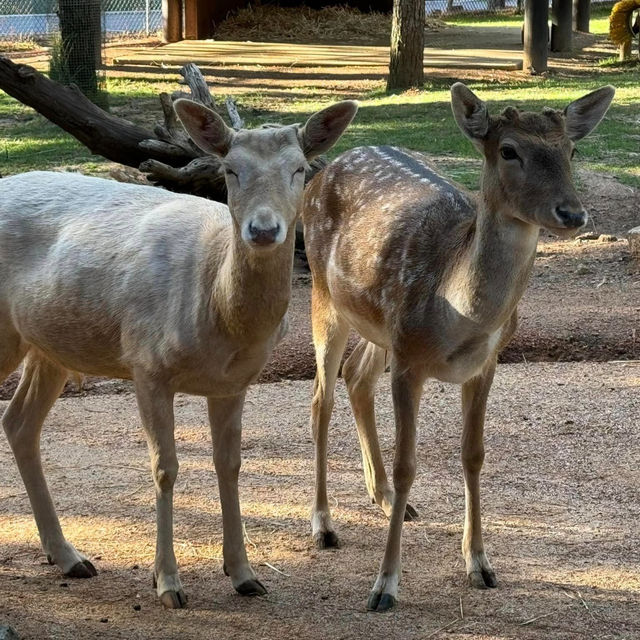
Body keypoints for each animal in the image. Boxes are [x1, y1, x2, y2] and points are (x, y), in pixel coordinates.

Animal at [0, 97, 358, 608]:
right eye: (229, 169)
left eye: (300, 169)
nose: (263, 229)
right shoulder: (146, 363)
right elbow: (165, 467)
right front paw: (168, 583)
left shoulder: (234, 382)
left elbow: (229, 465)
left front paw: (245, 575)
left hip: (48, 343)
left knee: (20, 423)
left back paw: (69, 557)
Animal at [304, 84, 616, 608]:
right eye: (508, 150)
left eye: (571, 150)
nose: (572, 213)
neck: (460, 314)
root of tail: (324, 170)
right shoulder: (409, 362)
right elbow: (408, 463)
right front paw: (384, 586)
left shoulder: (485, 363)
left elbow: (474, 454)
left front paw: (480, 565)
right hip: (324, 294)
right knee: (320, 399)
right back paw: (324, 526)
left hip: (379, 326)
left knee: (357, 375)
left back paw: (385, 498)